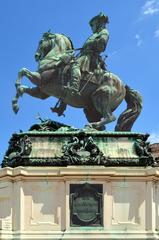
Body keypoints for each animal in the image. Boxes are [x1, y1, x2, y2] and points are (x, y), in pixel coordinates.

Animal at [12, 31, 142, 131]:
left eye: (41, 41)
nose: (37, 56)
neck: (54, 58)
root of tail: (123, 85)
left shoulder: (39, 79)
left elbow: (22, 71)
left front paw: (16, 88)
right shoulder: (41, 92)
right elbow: (23, 88)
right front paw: (15, 104)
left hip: (100, 96)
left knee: (111, 117)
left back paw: (91, 125)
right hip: (90, 110)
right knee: (103, 125)